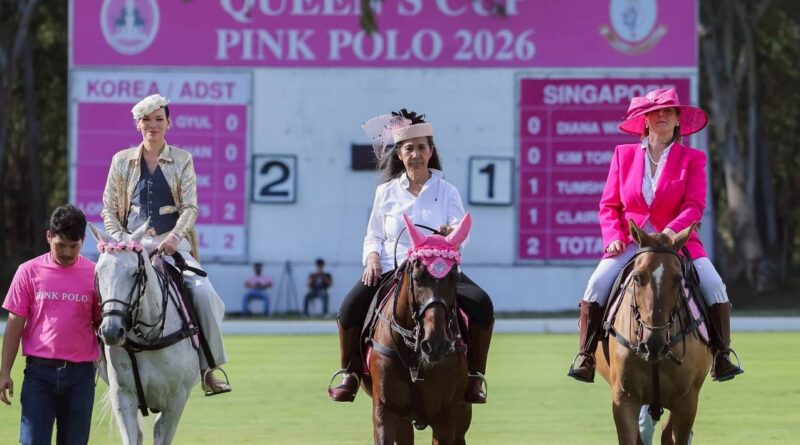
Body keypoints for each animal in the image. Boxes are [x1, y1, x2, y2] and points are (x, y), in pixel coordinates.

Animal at [89, 223, 200, 445]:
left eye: (135, 272)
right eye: (98, 272)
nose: (111, 332)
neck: (149, 337)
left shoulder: (176, 399)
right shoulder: (123, 395)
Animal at [595, 220, 713, 445]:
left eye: (678, 279)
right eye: (637, 277)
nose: (653, 345)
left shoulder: (687, 401)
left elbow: (677, 435)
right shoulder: (624, 398)